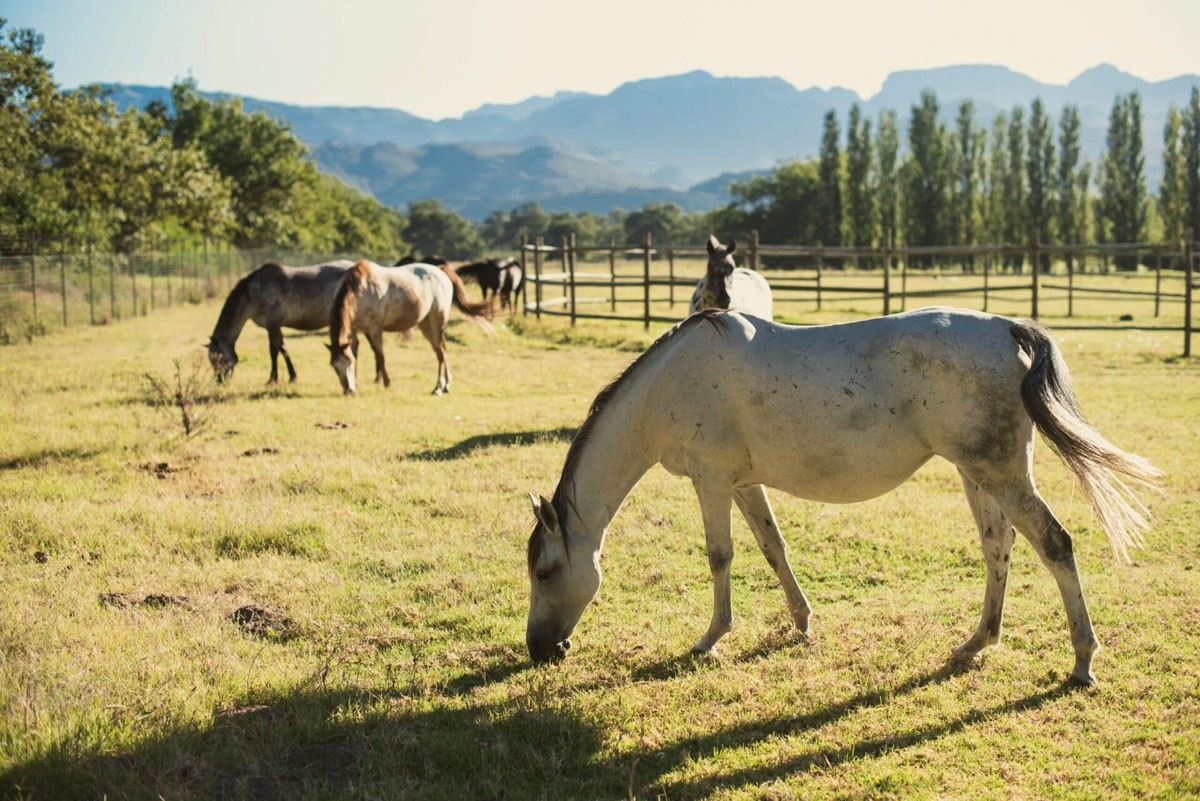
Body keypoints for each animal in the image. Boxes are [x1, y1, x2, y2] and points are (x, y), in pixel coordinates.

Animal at [328, 260, 492, 393]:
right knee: (441, 351)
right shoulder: (354, 330)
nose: (348, 390)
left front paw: (386, 382)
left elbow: (380, 356)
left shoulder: (374, 329)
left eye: (348, 364)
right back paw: (446, 385)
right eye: (334, 366)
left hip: (436, 323)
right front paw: (357, 383)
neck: (360, 291)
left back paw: (438, 387)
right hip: (426, 326)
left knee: (441, 352)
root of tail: (441, 272)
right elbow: (356, 354)